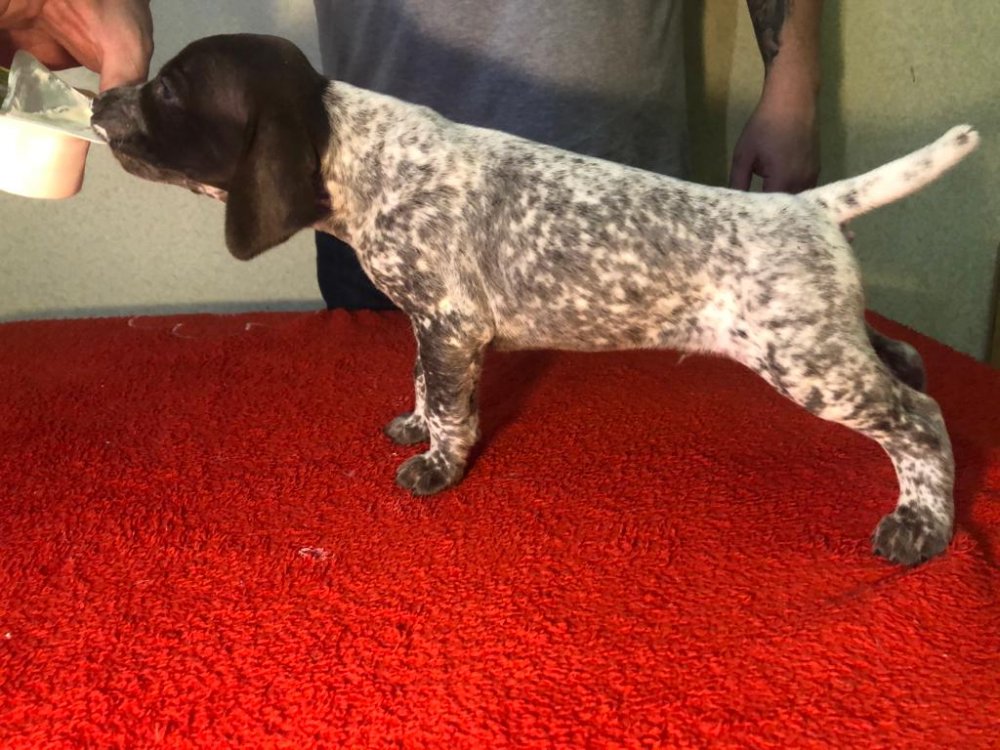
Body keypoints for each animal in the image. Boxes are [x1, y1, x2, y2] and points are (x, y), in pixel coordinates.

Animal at [91, 34, 979, 566]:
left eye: (167, 91)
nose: (100, 99)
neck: (357, 154)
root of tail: (810, 206)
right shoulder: (432, 327)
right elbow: (426, 384)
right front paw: (414, 422)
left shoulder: (450, 321)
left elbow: (453, 409)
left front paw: (437, 465)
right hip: (825, 339)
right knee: (903, 356)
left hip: (804, 361)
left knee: (919, 420)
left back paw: (923, 521)